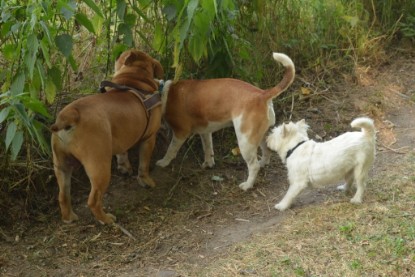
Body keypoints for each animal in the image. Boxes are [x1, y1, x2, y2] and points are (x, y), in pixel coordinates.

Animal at [50, 49, 164, 222]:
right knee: (93, 200)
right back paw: (106, 219)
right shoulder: (149, 139)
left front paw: (125, 168)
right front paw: (146, 181)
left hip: (61, 166)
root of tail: (70, 114)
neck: (135, 78)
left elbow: (122, 153)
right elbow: (143, 164)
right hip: (100, 168)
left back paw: (69, 217)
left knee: (63, 196)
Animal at [156, 52, 296, 190]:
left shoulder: (180, 132)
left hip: (245, 141)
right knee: (266, 152)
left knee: (253, 166)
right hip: (260, 135)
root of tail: (262, 94)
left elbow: (171, 150)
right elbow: (208, 147)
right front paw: (209, 163)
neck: (165, 93)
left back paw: (247, 185)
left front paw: (163, 162)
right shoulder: (205, 131)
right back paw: (262, 163)